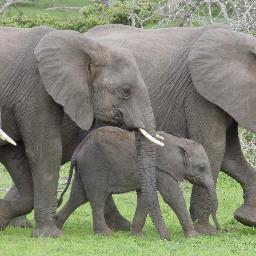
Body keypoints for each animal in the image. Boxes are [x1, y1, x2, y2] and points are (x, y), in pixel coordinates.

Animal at [0, 26, 166, 238]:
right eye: (125, 91)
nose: (166, 239)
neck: (91, 48)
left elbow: (14, 155)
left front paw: (1, 217)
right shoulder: (35, 90)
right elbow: (47, 150)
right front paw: (49, 235)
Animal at [57, 126, 219, 238]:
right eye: (201, 167)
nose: (219, 229)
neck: (180, 142)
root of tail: (77, 151)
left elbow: (144, 197)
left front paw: (136, 236)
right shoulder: (160, 169)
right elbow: (172, 196)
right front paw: (193, 236)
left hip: (84, 170)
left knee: (78, 197)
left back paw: (57, 226)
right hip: (94, 167)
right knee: (97, 198)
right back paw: (105, 234)